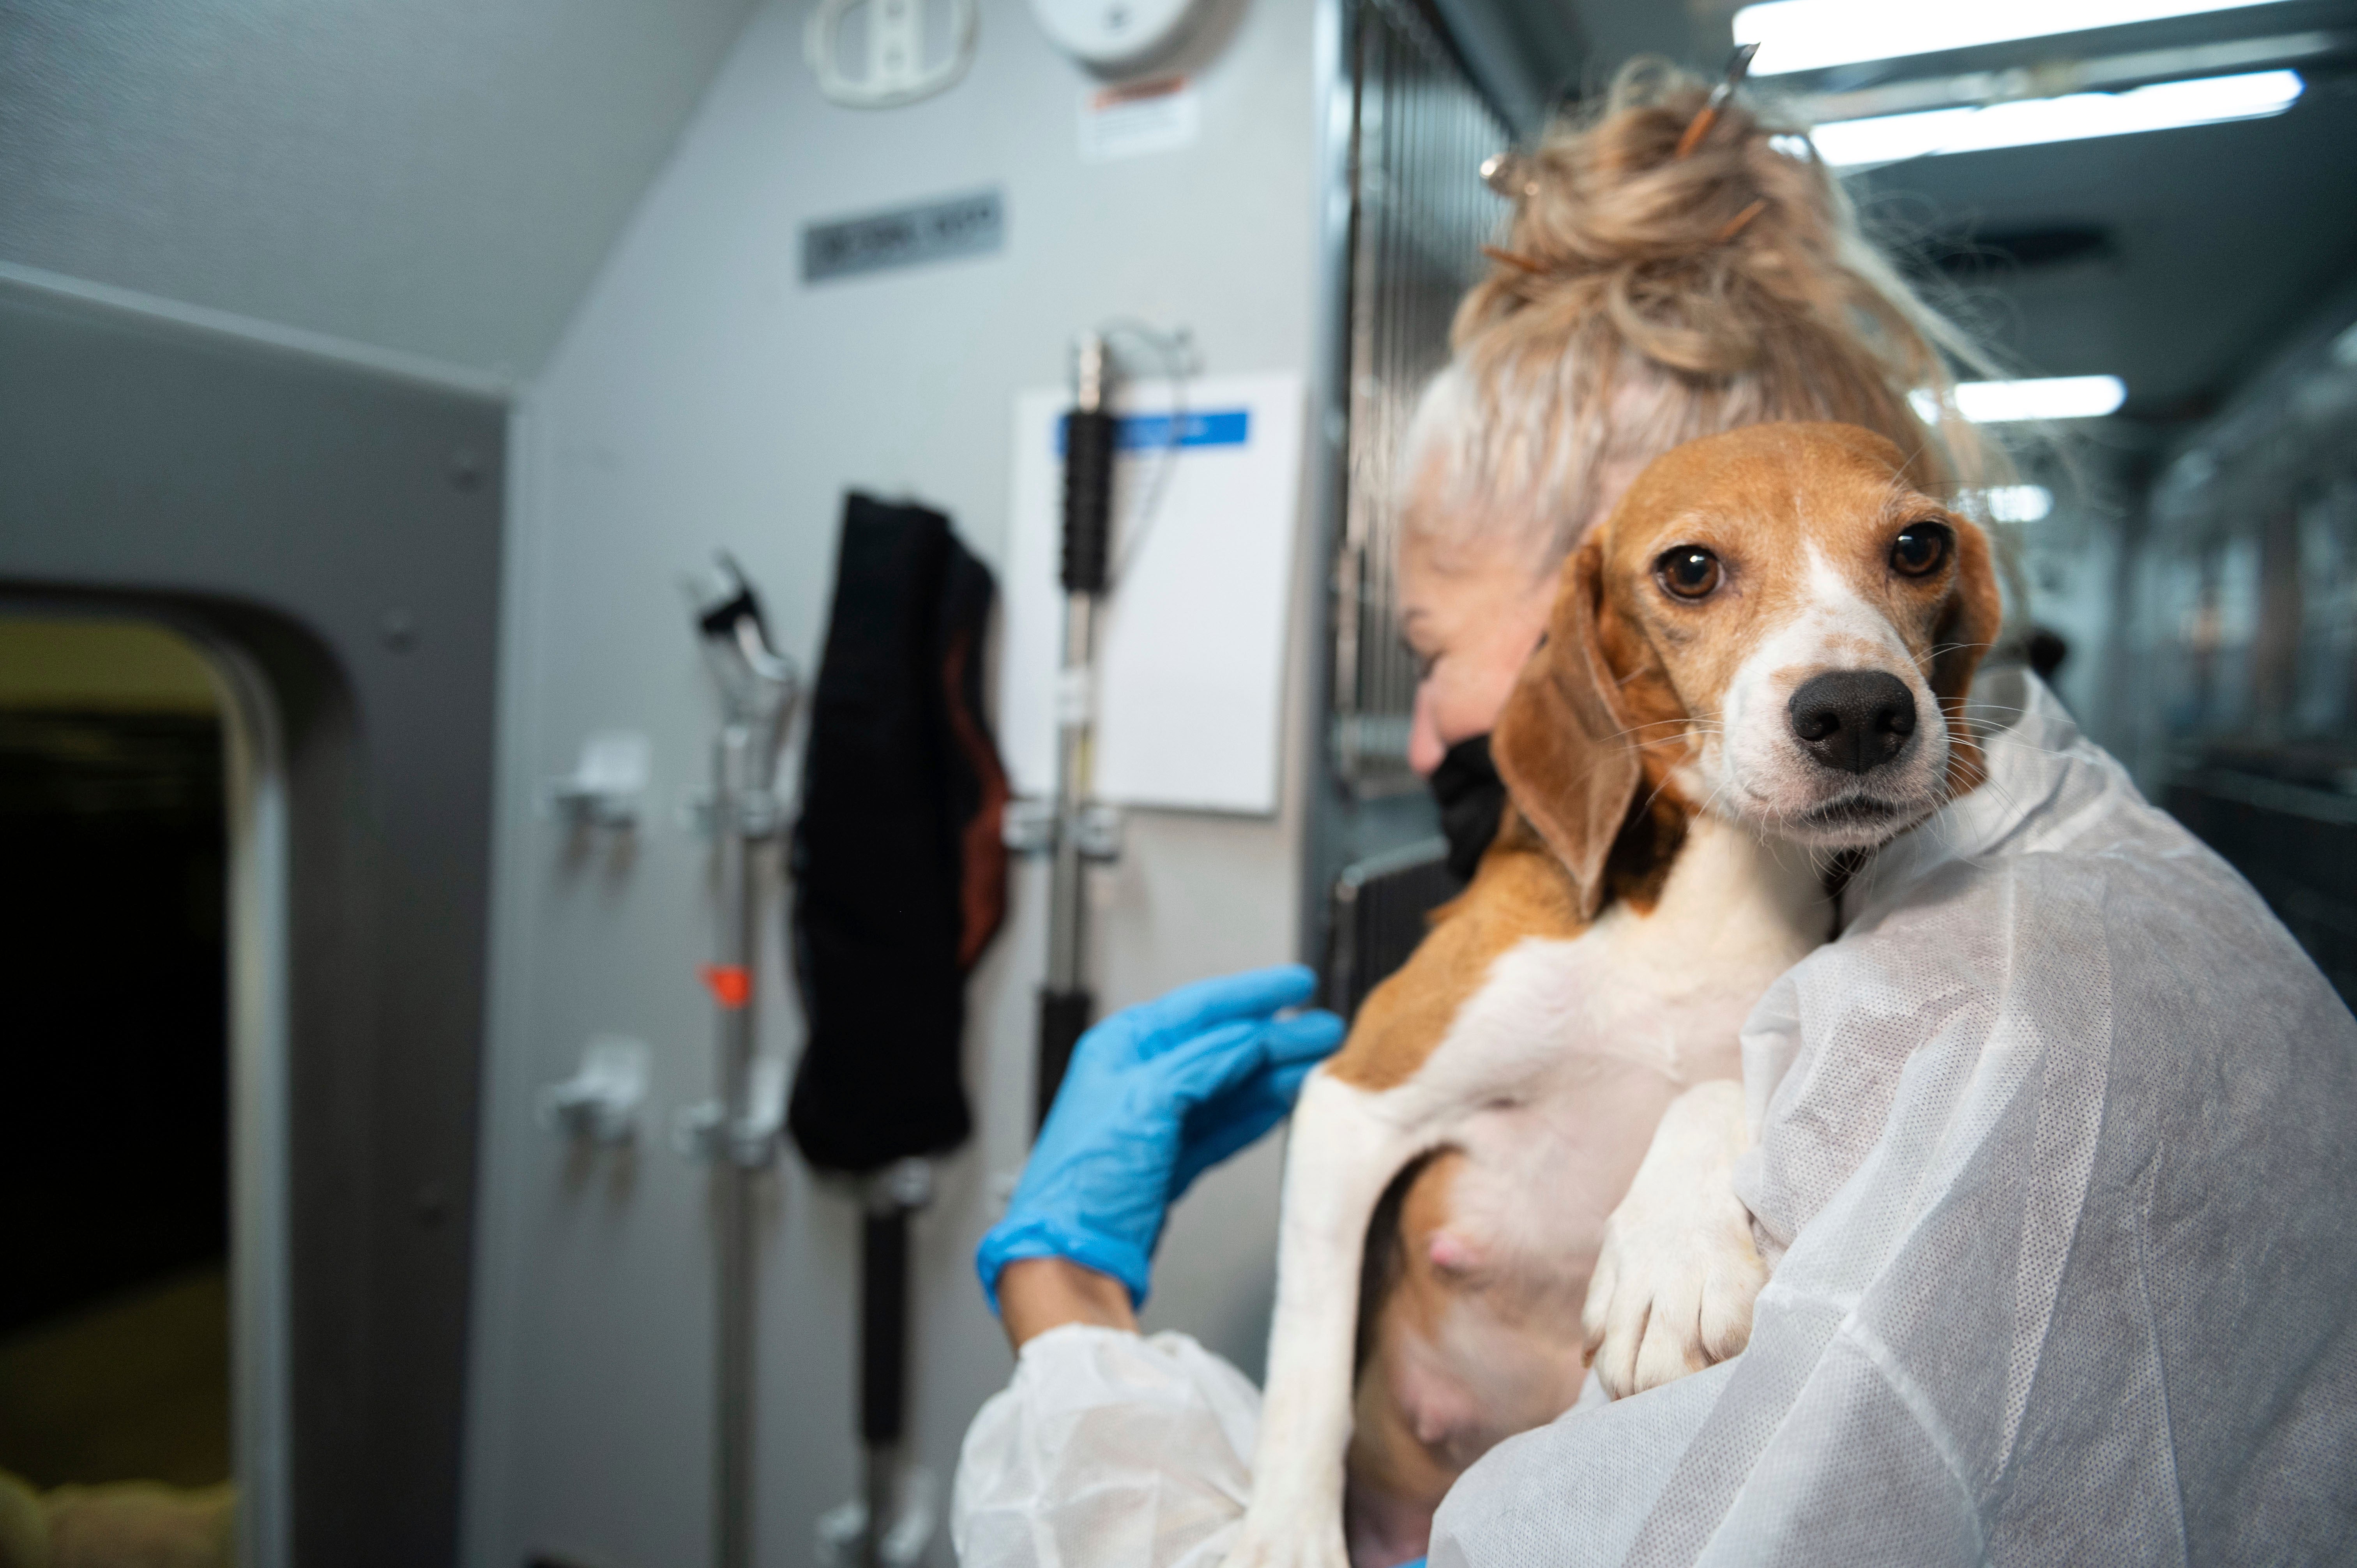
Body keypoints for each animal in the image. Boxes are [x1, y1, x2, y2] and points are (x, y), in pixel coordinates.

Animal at [1225, 422, 1998, 1565]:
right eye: (1691, 569)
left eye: (1918, 547)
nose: (1861, 710)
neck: (1710, 889)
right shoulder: (1357, 1102)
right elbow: (1308, 1366)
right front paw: (1285, 1534)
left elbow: (1717, 1080)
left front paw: (1671, 1261)